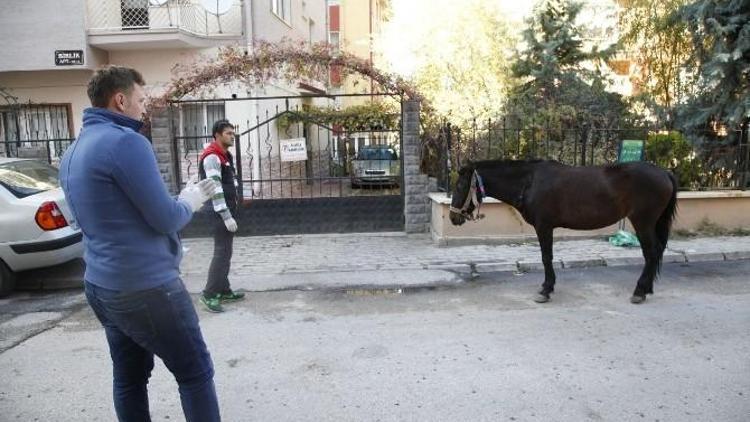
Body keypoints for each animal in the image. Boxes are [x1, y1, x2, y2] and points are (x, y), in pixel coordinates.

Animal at [452, 159, 680, 304]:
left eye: (461, 185)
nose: (454, 218)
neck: (530, 181)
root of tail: (665, 173)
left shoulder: (544, 226)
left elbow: (546, 257)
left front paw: (546, 289)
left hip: (643, 222)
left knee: (651, 253)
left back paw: (640, 291)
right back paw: (647, 288)